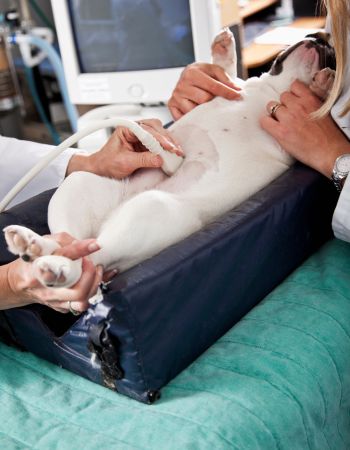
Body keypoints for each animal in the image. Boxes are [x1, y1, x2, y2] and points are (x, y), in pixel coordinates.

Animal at [2, 29, 336, 288]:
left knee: (90, 255)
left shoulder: (286, 143)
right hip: (80, 186)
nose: (321, 35)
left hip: (151, 211)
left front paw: (323, 83)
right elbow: (227, 73)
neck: (269, 91)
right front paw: (223, 51)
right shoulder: (227, 88)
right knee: (70, 241)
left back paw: (52, 264)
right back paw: (35, 245)